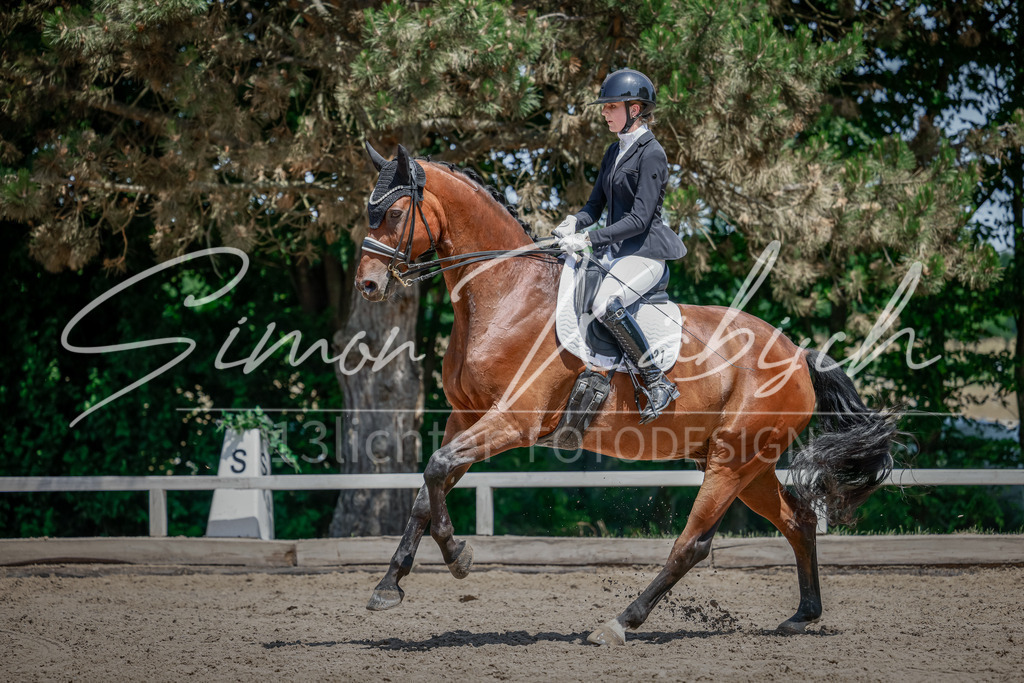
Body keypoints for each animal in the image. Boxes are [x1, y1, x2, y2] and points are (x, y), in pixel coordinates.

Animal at [354, 143, 896, 646]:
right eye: (369, 211)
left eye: (395, 213)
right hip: (750, 464)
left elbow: (436, 469)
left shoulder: (511, 422)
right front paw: (388, 586)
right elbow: (427, 490)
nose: (368, 285)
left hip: (732, 460)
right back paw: (803, 614)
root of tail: (798, 354)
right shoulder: (466, 418)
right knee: (797, 520)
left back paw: (620, 623)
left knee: (692, 544)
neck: (506, 295)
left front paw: (458, 555)